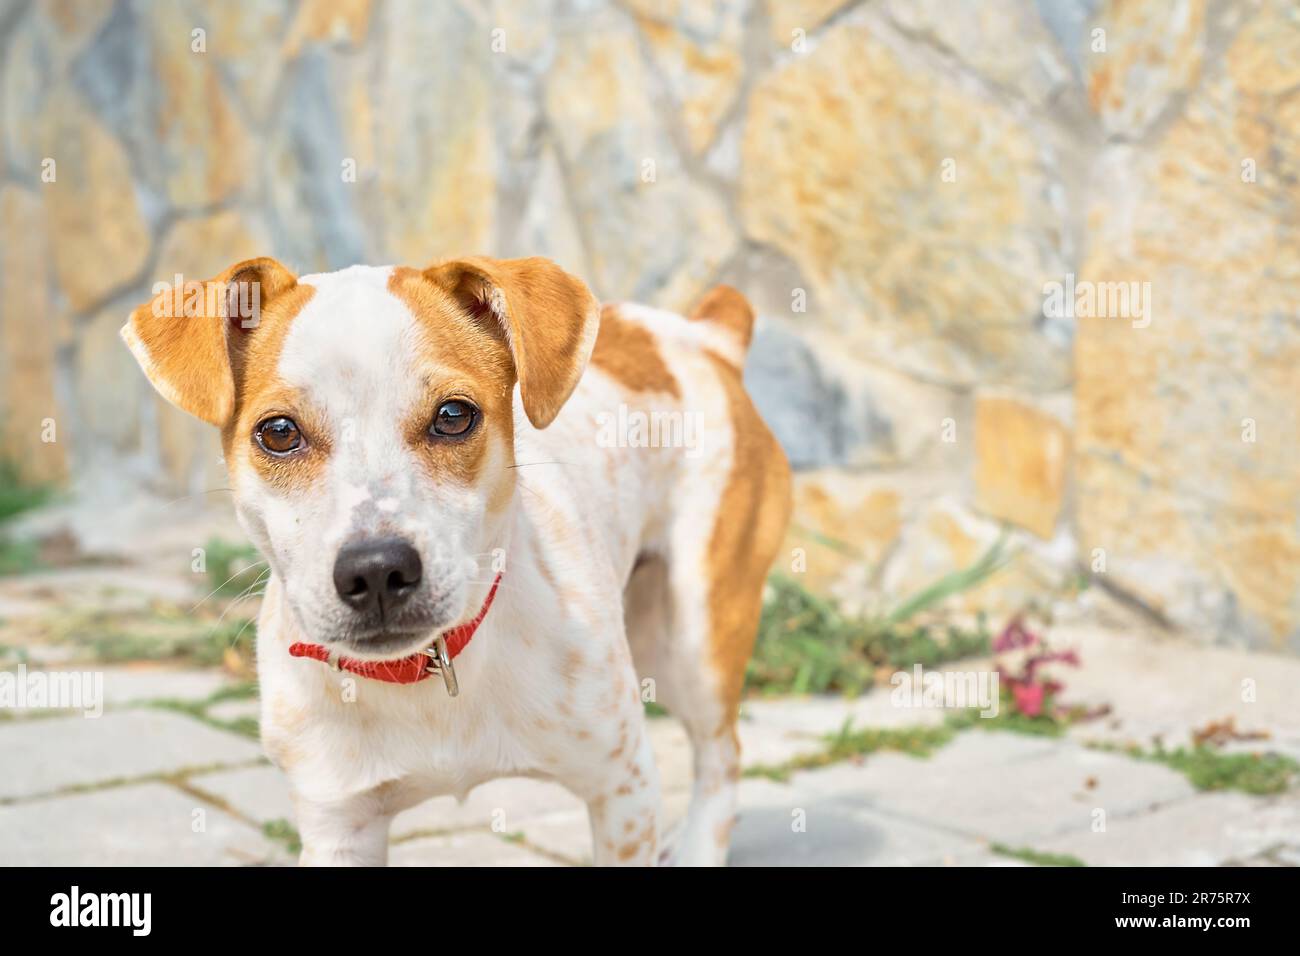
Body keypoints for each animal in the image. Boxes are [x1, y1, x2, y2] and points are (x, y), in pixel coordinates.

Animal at [124, 256, 790, 868]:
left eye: (452, 416)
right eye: (279, 432)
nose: (375, 570)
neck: (423, 675)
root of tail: (704, 336)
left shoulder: (621, 787)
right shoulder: (339, 824)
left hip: (692, 640)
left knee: (722, 755)